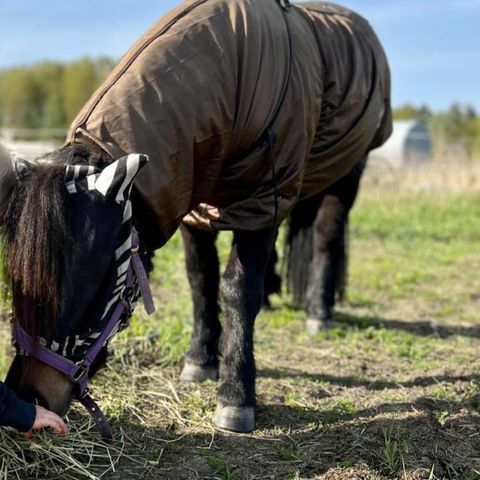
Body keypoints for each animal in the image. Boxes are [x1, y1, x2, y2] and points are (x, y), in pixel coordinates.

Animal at [0, 0, 390, 436]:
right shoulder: (193, 203)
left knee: (325, 237)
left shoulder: (263, 198)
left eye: (94, 287)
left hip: (344, 180)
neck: (230, 67)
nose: (29, 396)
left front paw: (235, 395)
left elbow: (237, 289)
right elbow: (201, 280)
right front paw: (201, 360)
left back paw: (318, 313)